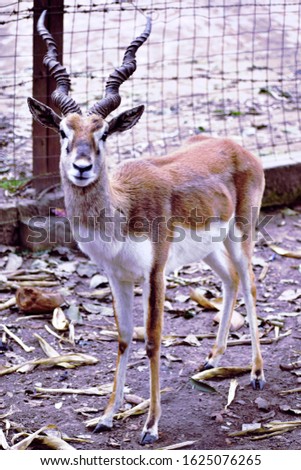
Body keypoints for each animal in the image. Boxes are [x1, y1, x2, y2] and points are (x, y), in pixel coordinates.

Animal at [28, 10, 264, 444]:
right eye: (64, 132)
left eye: (103, 132)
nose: (82, 167)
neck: (121, 211)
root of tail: (238, 147)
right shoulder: (116, 276)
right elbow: (124, 338)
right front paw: (106, 416)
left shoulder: (155, 273)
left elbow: (153, 340)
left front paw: (151, 425)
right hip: (210, 248)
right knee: (232, 280)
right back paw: (213, 359)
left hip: (242, 233)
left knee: (251, 283)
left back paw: (255, 373)